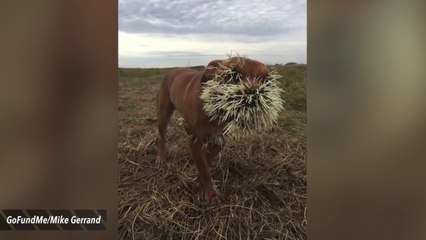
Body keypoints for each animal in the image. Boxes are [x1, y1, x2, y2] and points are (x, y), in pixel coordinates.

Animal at [156, 56, 270, 201]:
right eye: (232, 74)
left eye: (266, 80)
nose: (254, 94)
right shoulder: (194, 141)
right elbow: (203, 167)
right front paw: (210, 193)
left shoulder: (219, 141)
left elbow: (206, 162)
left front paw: (200, 184)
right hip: (163, 115)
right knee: (162, 138)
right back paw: (161, 157)